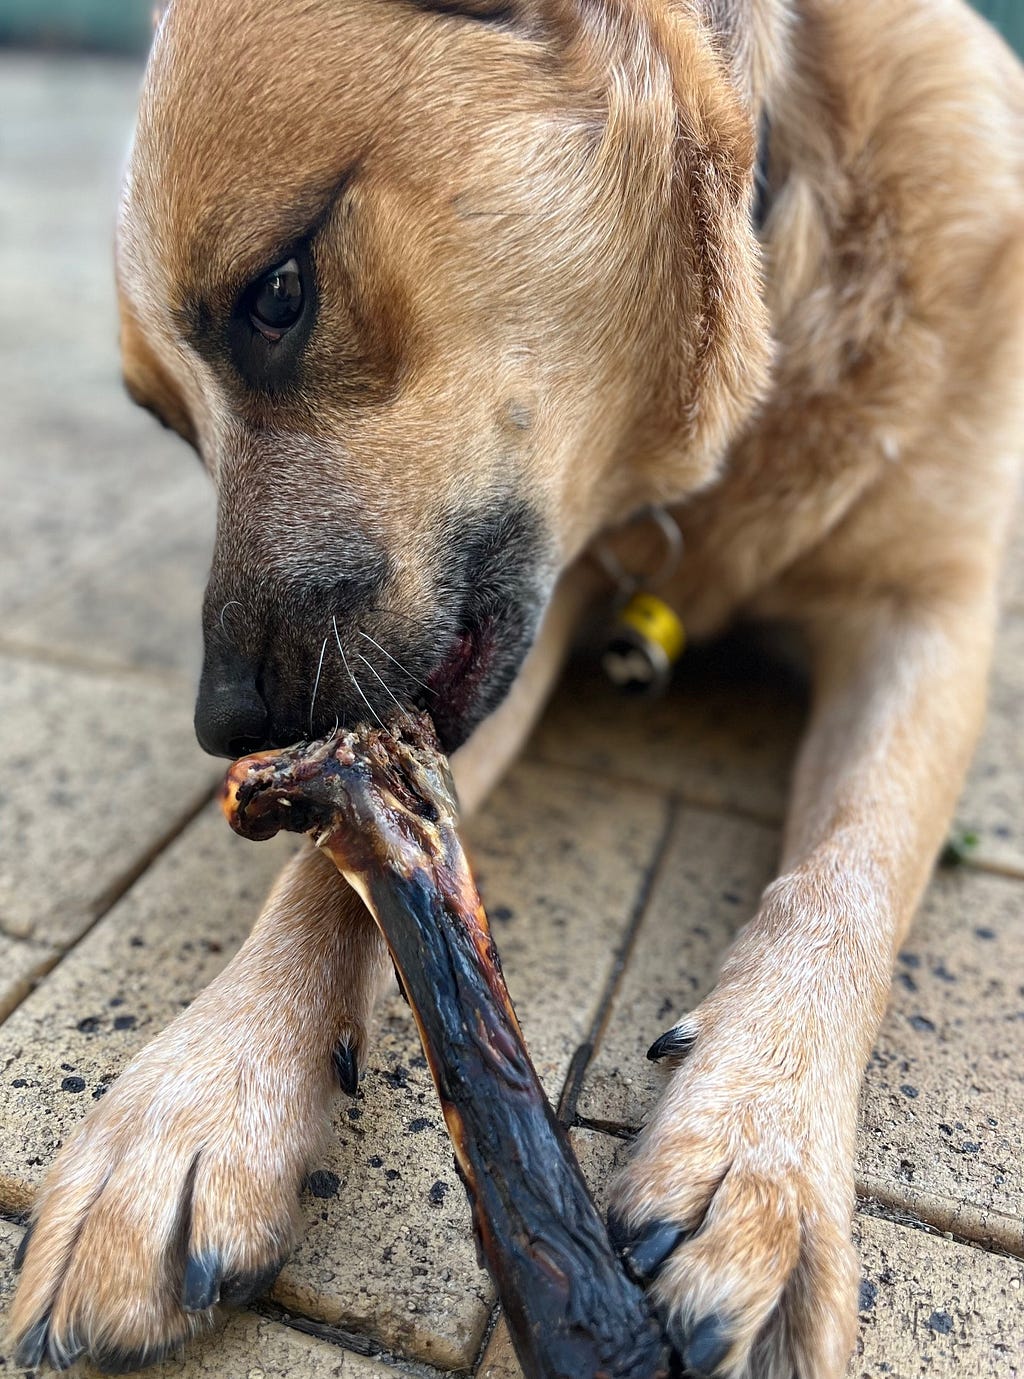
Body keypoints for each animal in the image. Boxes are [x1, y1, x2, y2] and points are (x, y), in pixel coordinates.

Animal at [9, 2, 1024, 1379]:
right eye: (169, 425)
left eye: (279, 294)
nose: (226, 726)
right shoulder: (503, 629)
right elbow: (339, 866)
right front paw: (199, 1093)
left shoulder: (930, 611)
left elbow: (856, 865)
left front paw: (757, 1152)